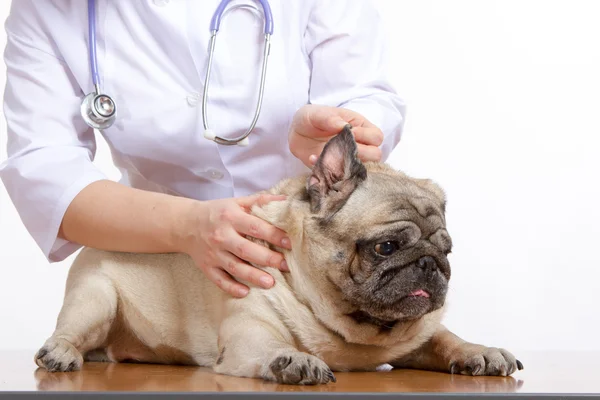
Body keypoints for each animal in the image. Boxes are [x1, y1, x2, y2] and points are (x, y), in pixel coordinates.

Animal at [32, 126, 524, 382]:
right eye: (386, 247)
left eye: (446, 251)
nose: (429, 264)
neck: (350, 329)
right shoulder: (250, 335)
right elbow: (273, 345)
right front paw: (296, 359)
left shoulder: (416, 337)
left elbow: (443, 338)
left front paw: (479, 351)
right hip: (95, 298)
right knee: (71, 330)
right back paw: (60, 352)